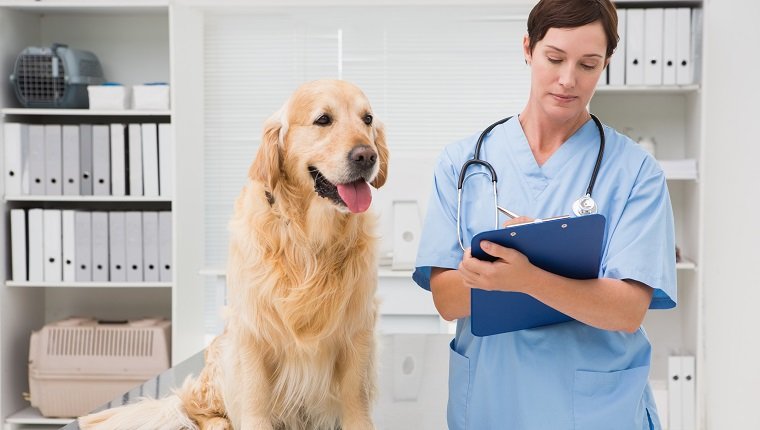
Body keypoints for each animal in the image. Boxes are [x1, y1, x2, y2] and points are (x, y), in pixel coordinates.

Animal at [79, 79, 388, 428]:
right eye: (323, 119)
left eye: (367, 119)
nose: (367, 155)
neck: (309, 240)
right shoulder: (252, 328)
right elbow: (255, 397)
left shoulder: (358, 328)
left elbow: (354, 396)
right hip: (221, 358)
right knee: (193, 407)